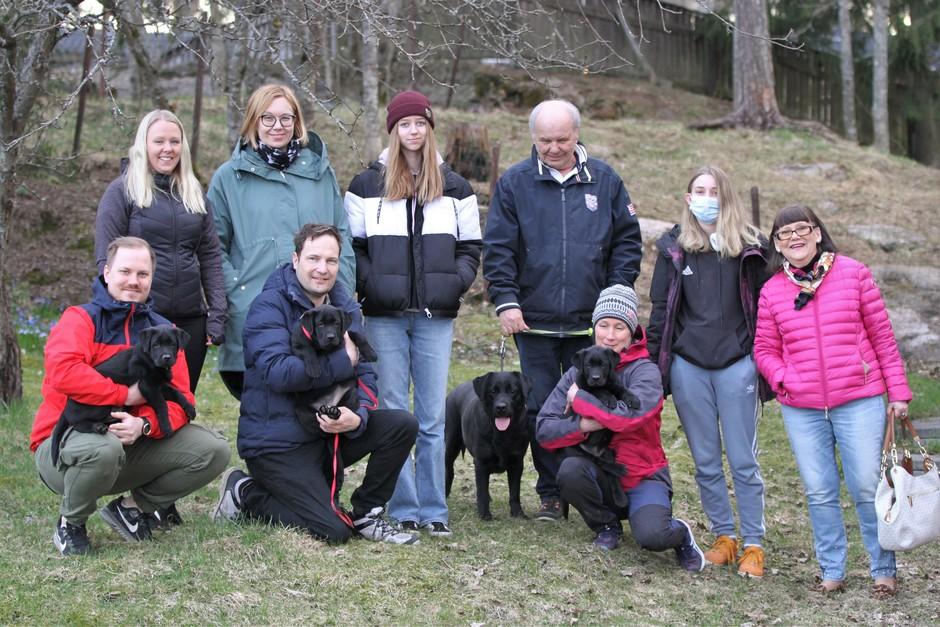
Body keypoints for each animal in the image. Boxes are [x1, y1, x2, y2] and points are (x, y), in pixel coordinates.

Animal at [49, 325, 195, 465]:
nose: (166, 358)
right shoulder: (147, 386)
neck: (150, 360)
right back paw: (97, 427)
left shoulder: (160, 386)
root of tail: (67, 406)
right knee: (76, 423)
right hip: (100, 406)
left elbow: (177, 393)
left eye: (172, 345)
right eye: (156, 345)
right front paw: (166, 427)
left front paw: (190, 409)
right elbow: (162, 405)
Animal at [290, 304, 378, 435]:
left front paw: (371, 353)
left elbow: (357, 335)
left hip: (351, 394)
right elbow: (307, 350)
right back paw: (324, 412)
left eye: (336, 323)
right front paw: (314, 369)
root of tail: (328, 405)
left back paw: (333, 413)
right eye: (320, 324)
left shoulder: (344, 335)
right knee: (320, 426)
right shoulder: (297, 344)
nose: (330, 337)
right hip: (301, 410)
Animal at [444, 371, 531, 520]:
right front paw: (484, 514)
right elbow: (482, 491)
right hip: (450, 444)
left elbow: (515, 491)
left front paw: (518, 513)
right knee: (448, 470)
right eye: (493, 391)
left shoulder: (517, 462)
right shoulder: (481, 462)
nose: (501, 407)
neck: (502, 433)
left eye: (513, 391)